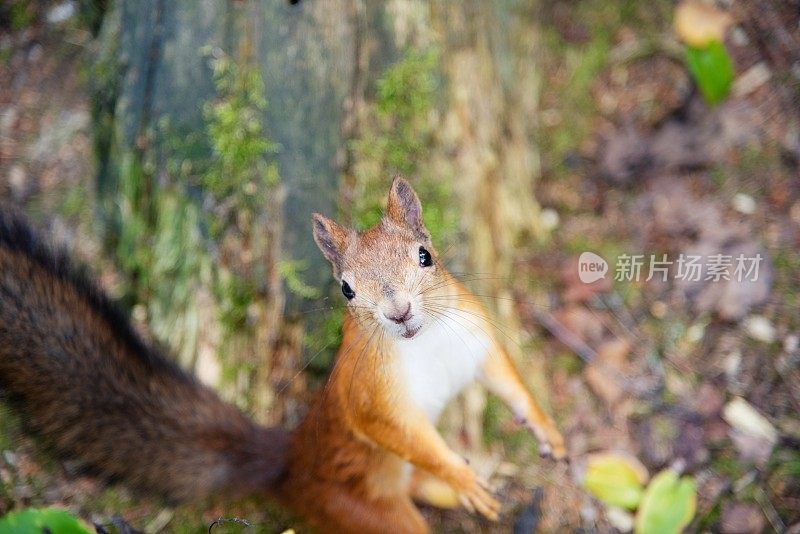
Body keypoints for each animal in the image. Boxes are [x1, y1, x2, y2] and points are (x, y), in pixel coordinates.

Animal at [0, 177, 564, 532]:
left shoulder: (473, 335)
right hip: (360, 508)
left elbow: (504, 377)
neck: (422, 343)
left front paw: (547, 431)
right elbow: (399, 433)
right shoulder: (370, 394)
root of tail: (289, 464)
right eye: (346, 289)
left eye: (425, 256)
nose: (399, 312)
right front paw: (461, 476)